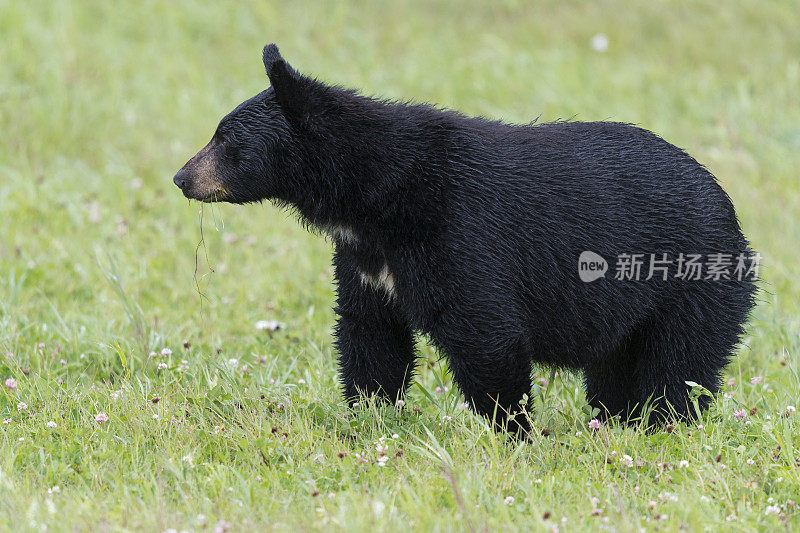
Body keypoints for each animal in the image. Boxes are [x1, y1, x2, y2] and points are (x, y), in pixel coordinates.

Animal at [173, 44, 756, 432]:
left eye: (224, 140)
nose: (181, 177)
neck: (373, 200)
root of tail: (729, 210)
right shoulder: (367, 258)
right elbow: (371, 335)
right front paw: (368, 419)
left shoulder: (457, 230)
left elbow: (483, 331)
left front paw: (511, 432)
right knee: (615, 371)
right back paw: (617, 423)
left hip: (690, 282)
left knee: (678, 366)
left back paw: (662, 426)